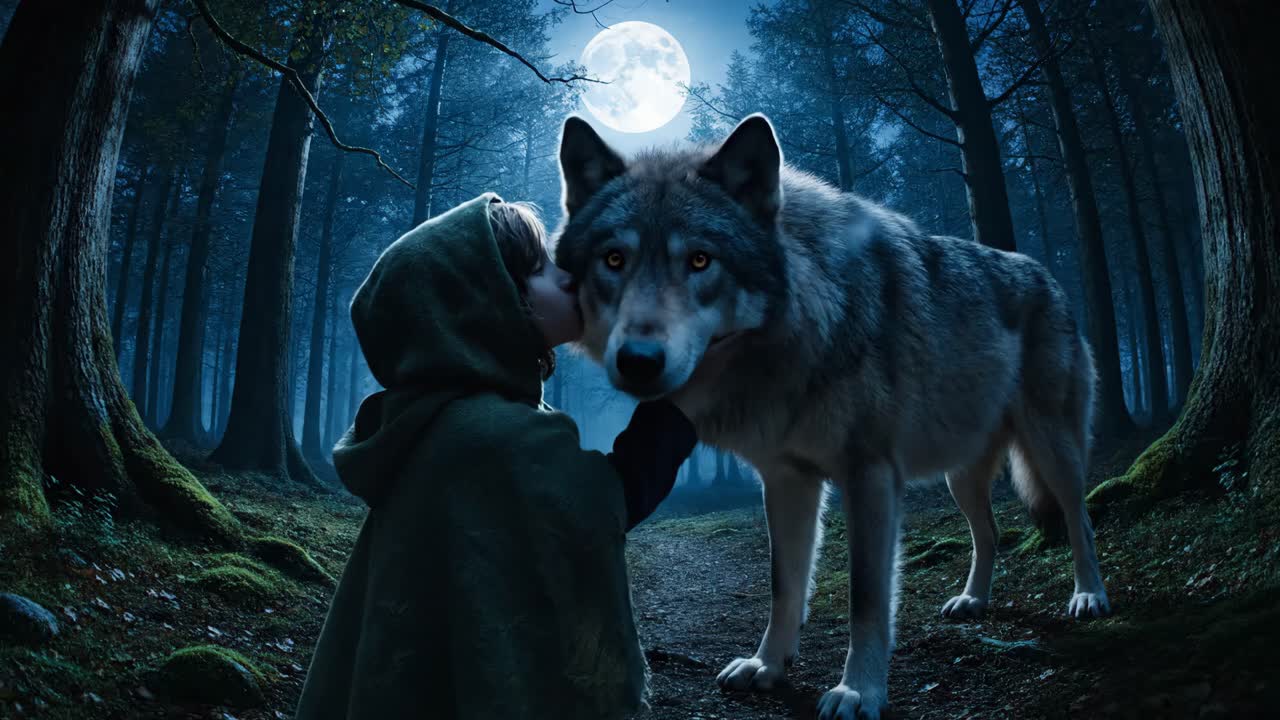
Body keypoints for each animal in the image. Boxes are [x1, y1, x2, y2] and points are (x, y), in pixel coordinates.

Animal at [552, 113, 1111, 720]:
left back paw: (1089, 595)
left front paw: (859, 691)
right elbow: (784, 583)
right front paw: (768, 666)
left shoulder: (870, 476)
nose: (638, 361)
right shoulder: (786, 479)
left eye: (700, 260)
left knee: (1079, 517)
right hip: (958, 475)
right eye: (614, 259)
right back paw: (972, 600)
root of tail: (1048, 276)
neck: (804, 329)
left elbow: (866, 595)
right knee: (990, 533)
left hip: (1052, 448)